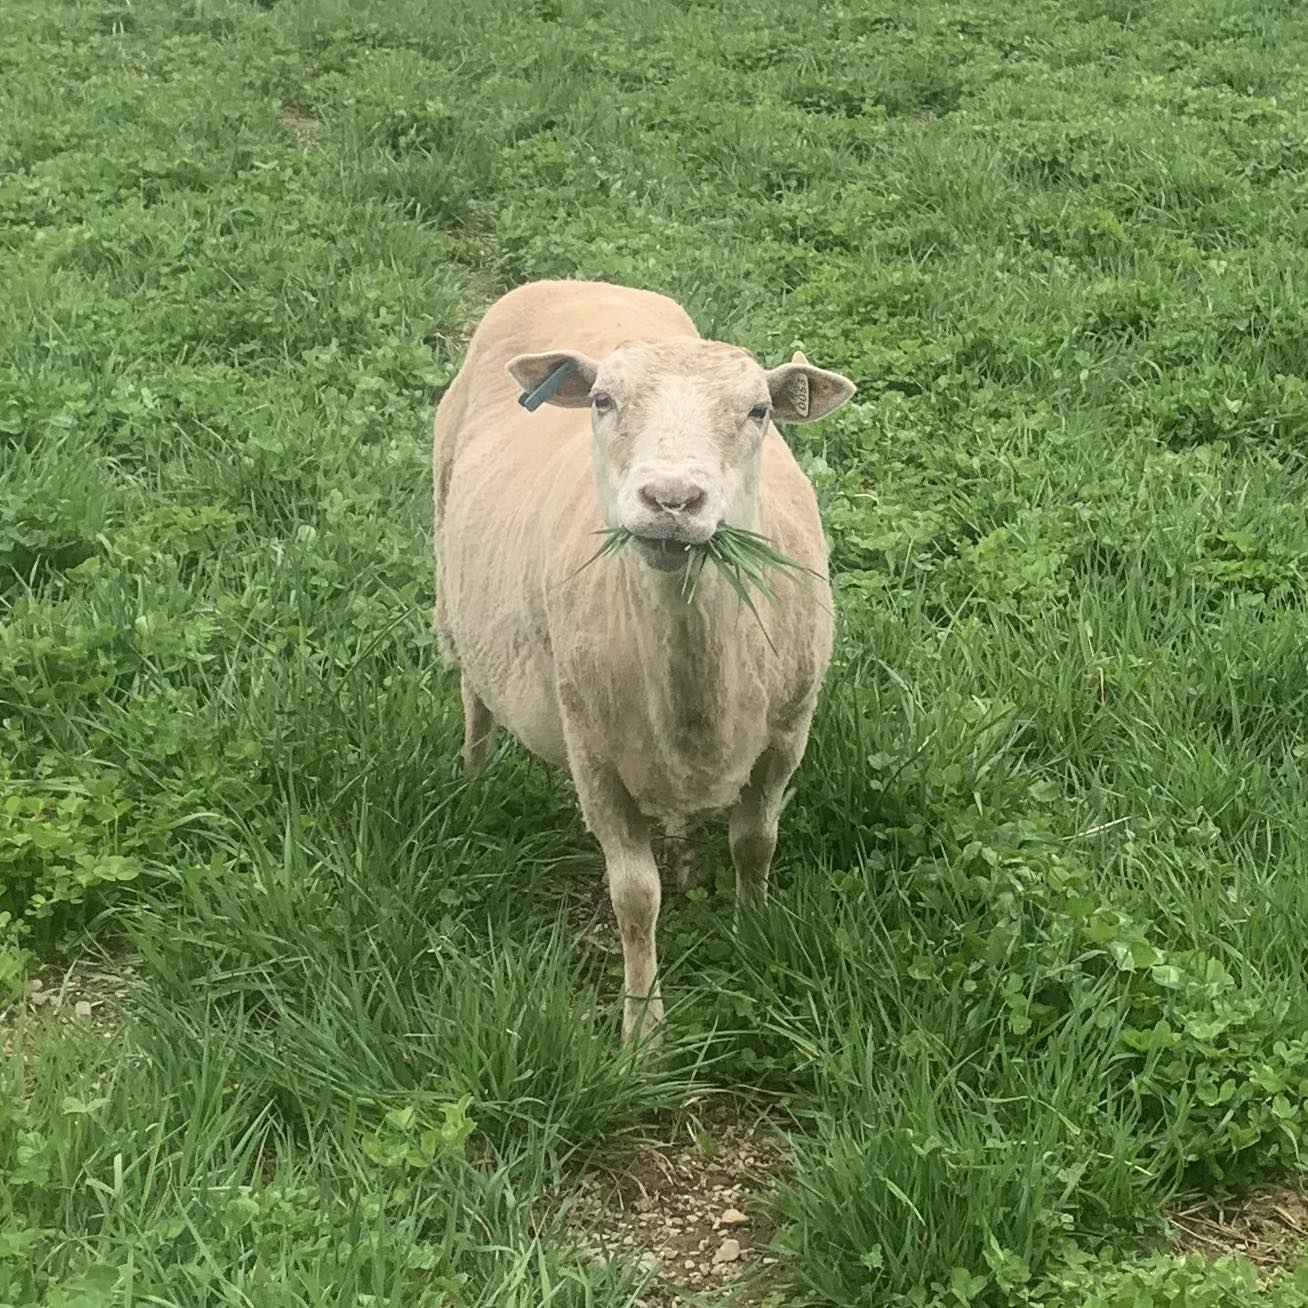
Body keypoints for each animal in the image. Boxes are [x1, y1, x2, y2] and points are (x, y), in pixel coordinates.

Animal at [432, 280, 854, 1041]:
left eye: (758, 411)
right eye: (603, 401)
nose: (671, 501)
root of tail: (576, 281)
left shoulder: (786, 735)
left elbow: (757, 842)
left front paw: (753, 936)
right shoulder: (593, 756)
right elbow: (634, 897)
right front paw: (643, 1028)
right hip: (454, 588)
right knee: (475, 697)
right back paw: (473, 778)